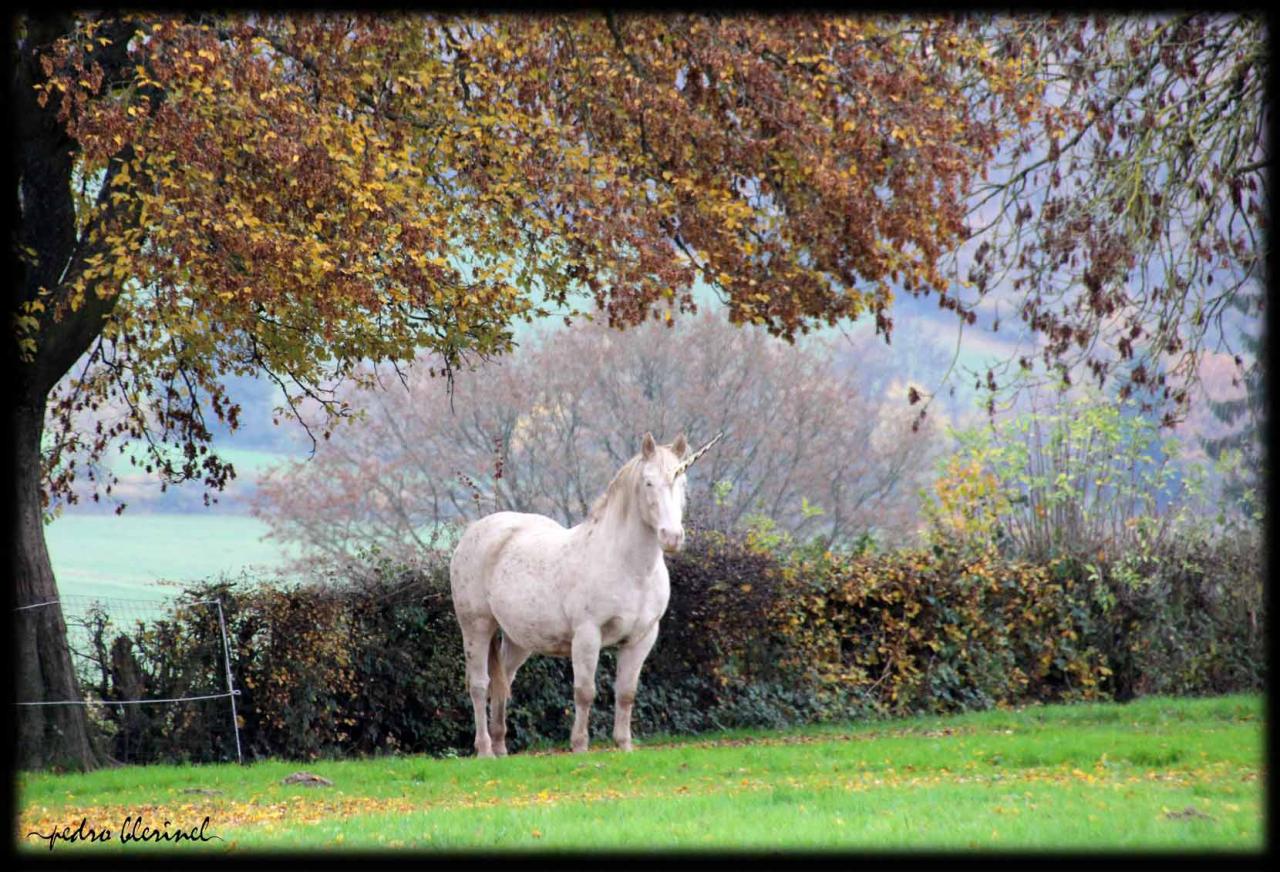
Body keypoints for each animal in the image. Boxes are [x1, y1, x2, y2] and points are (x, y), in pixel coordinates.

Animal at [448, 430, 721, 752]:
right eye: (648, 482)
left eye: (683, 483)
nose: (672, 537)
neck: (629, 567)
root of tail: (474, 532)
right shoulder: (587, 635)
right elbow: (585, 692)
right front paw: (579, 746)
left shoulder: (641, 639)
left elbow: (626, 693)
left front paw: (624, 746)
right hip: (476, 628)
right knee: (480, 685)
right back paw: (485, 750)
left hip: (518, 638)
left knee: (505, 680)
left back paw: (502, 748)